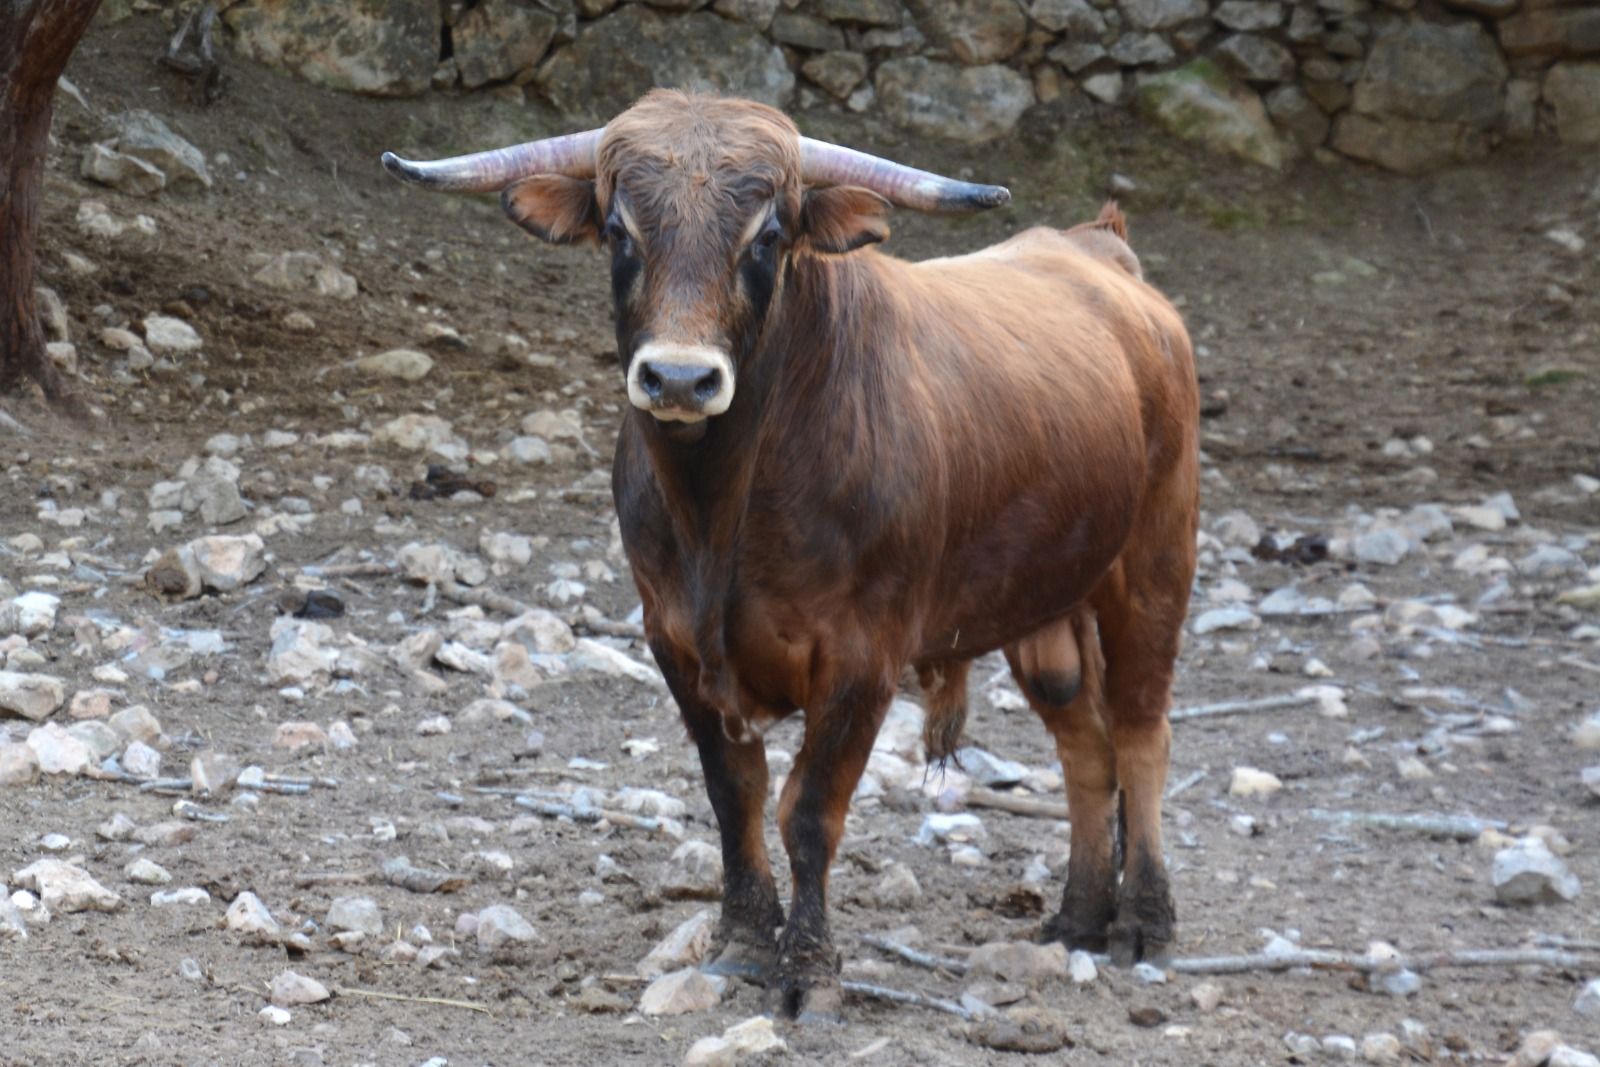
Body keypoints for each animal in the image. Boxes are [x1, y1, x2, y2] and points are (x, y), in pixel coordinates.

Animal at [380, 89, 1196, 1017]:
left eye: (767, 236)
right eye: (621, 230)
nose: (680, 379)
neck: (722, 511)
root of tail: (1101, 252)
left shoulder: (862, 657)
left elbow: (808, 810)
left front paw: (809, 966)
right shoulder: (675, 641)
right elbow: (734, 792)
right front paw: (740, 939)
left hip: (1153, 567)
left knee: (1140, 731)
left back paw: (1143, 921)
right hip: (1046, 605)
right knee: (1084, 743)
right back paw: (1077, 917)